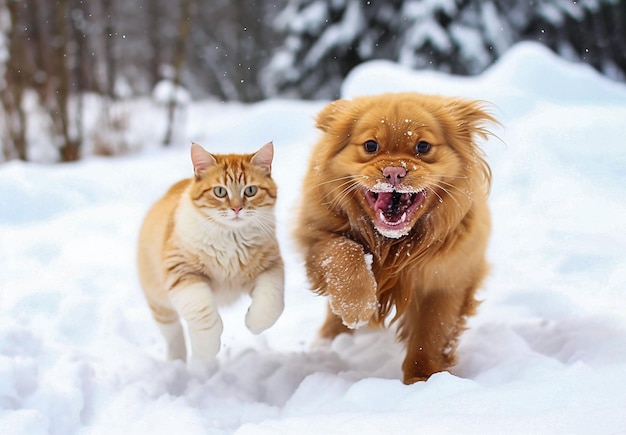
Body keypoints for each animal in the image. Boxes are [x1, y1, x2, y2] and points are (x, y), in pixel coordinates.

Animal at [137, 142, 286, 362]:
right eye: (220, 192)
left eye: (250, 190)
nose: (236, 209)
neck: (232, 240)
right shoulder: (181, 271)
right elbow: (204, 316)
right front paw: (205, 352)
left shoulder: (271, 267)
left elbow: (272, 304)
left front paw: (252, 321)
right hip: (159, 302)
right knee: (173, 333)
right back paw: (178, 361)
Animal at [294, 92, 498, 384]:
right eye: (370, 145)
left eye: (423, 146)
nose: (394, 171)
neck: (393, 245)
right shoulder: (317, 236)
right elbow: (344, 252)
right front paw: (356, 305)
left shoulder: (447, 281)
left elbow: (431, 335)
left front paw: (423, 380)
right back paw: (328, 343)